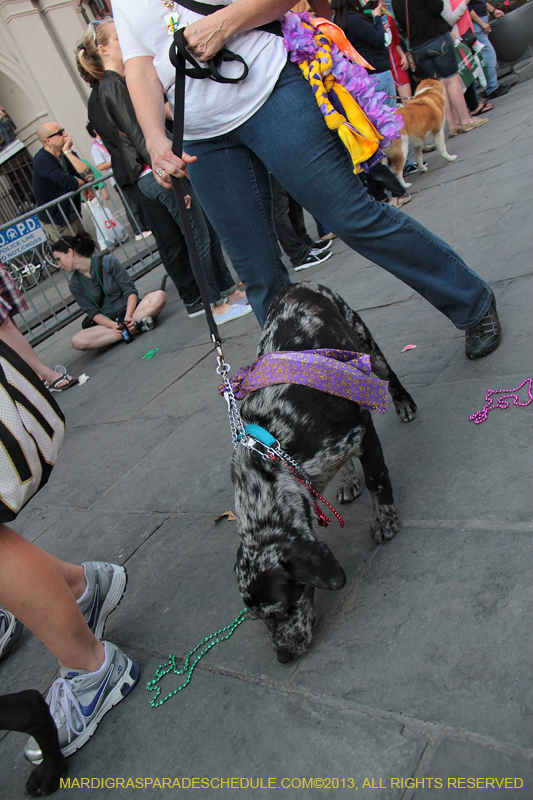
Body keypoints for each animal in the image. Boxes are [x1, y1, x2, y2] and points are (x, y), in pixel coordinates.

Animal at [233, 282, 416, 664]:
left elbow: (378, 480)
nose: (284, 658)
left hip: (365, 347)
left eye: (281, 610)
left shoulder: (361, 430)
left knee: (389, 374)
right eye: (258, 619)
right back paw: (346, 479)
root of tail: (294, 285)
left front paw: (385, 518)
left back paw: (404, 402)